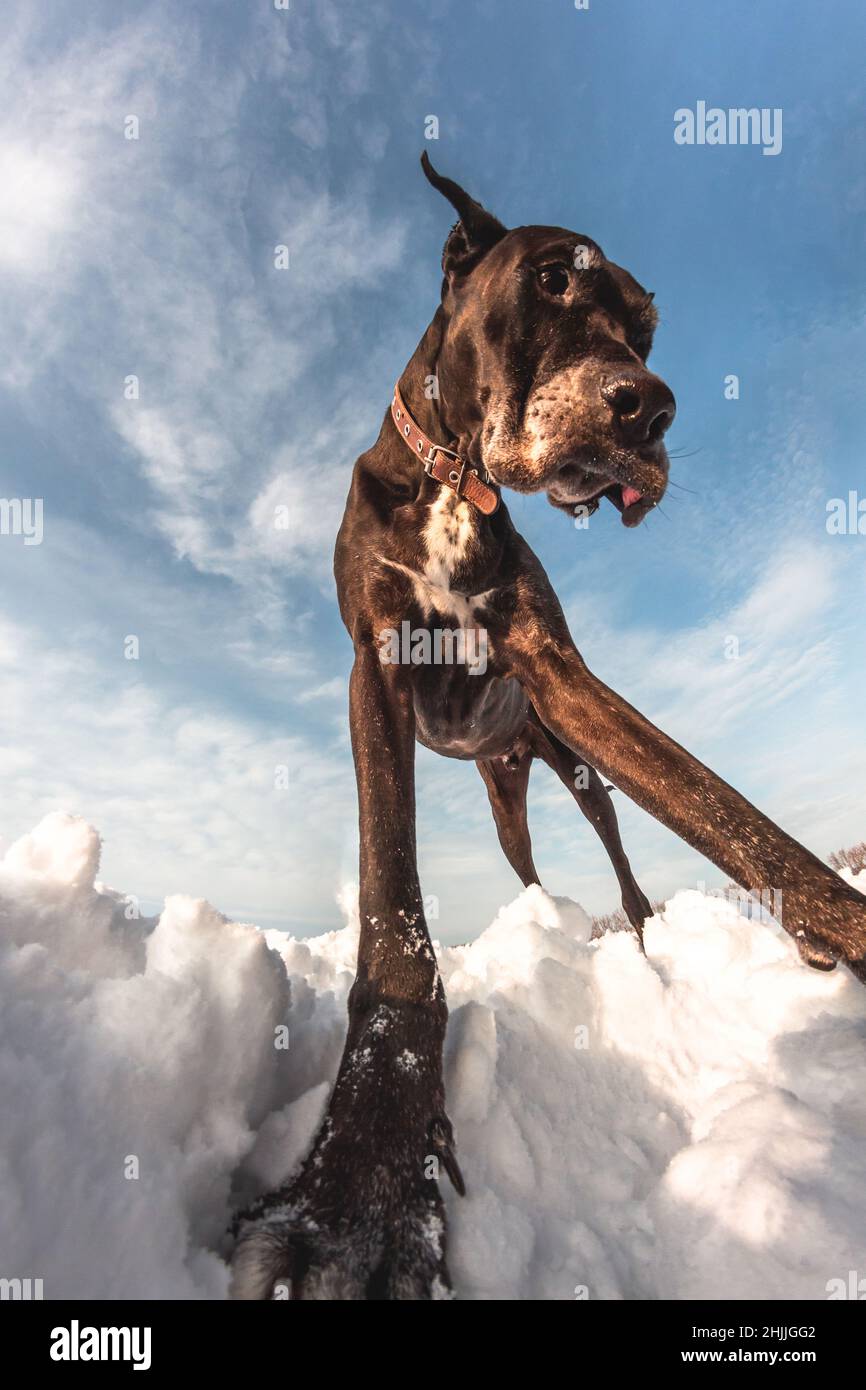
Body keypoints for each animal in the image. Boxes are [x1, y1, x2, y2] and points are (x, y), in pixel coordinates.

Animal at [230, 157, 866, 1295]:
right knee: (525, 864)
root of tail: (513, 756)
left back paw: (642, 936)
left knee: (616, 846)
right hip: (505, 797)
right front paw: (361, 1188)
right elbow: (393, 914)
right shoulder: (373, 670)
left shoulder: (562, 677)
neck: (454, 477)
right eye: (551, 281)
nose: (651, 408)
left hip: (566, 762)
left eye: (647, 329)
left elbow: (733, 817)